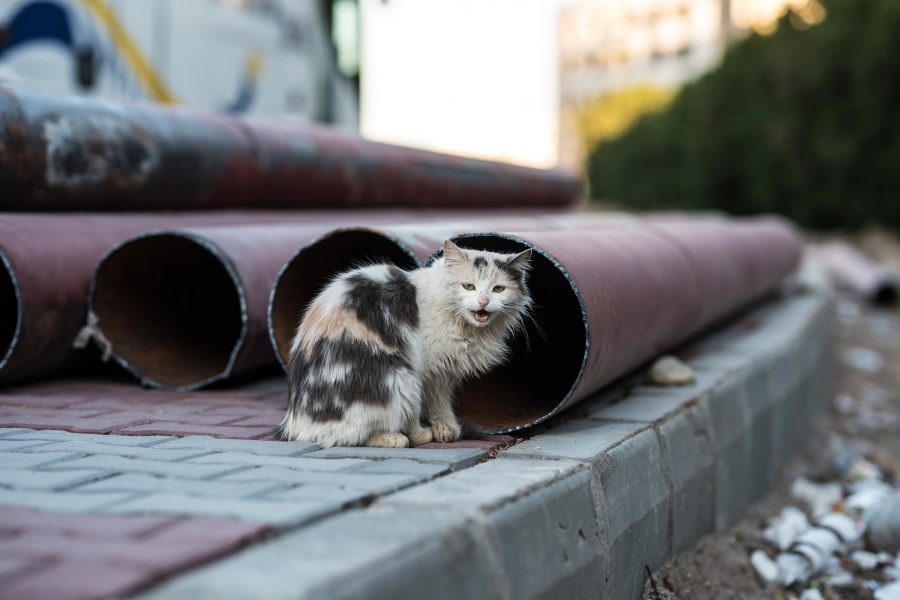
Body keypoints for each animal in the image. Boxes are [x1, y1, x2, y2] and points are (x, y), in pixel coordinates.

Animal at [278, 239, 532, 446]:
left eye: (498, 289)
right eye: (468, 286)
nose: (483, 302)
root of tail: (298, 426)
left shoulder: (443, 375)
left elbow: (440, 403)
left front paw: (447, 428)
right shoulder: (426, 370)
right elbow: (420, 410)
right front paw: (430, 432)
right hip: (400, 377)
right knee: (353, 435)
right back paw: (399, 438)